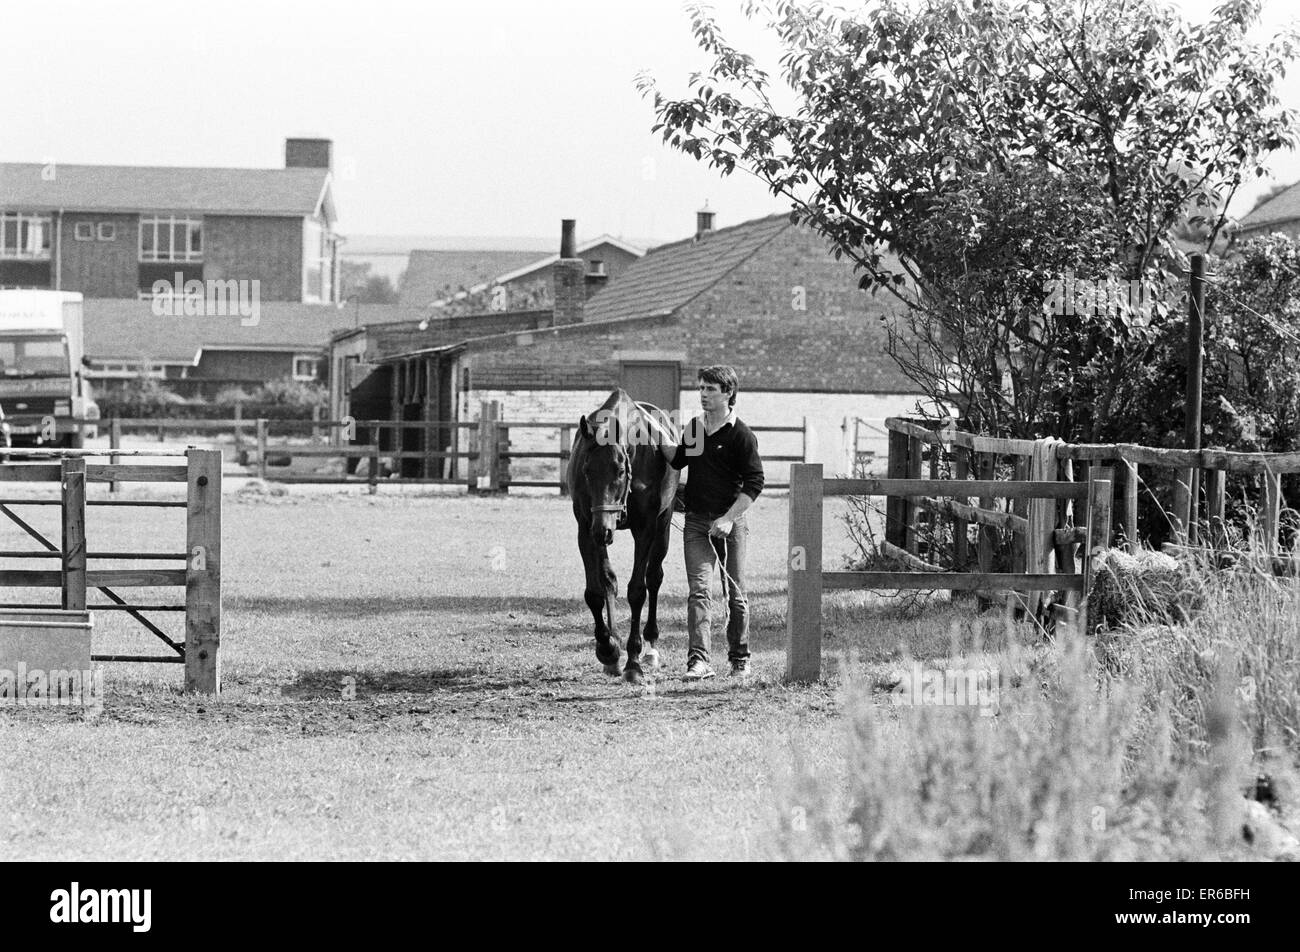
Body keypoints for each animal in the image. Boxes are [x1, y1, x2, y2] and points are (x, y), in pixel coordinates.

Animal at [574, 387, 686, 686]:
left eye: (620, 471)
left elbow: (638, 590)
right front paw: (608, 649)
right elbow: (596, 590)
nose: (603, 529)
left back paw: (650, 648)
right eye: (587, 470)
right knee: (609, 582)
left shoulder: (645, 529)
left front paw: (633, 661)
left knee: (654, 578)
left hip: (662, 527)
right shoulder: (585, 528)